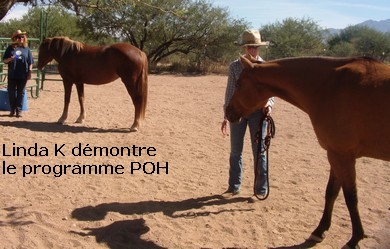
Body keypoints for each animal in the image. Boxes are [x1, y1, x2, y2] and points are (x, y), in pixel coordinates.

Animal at [225, 55, 390, 248]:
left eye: (238, 84)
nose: (228, 112)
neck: (329, 86)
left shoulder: (342, 155)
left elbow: (351, 197)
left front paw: (354, 239)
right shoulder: (335, 154)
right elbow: (331, 192)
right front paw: (319, 231)